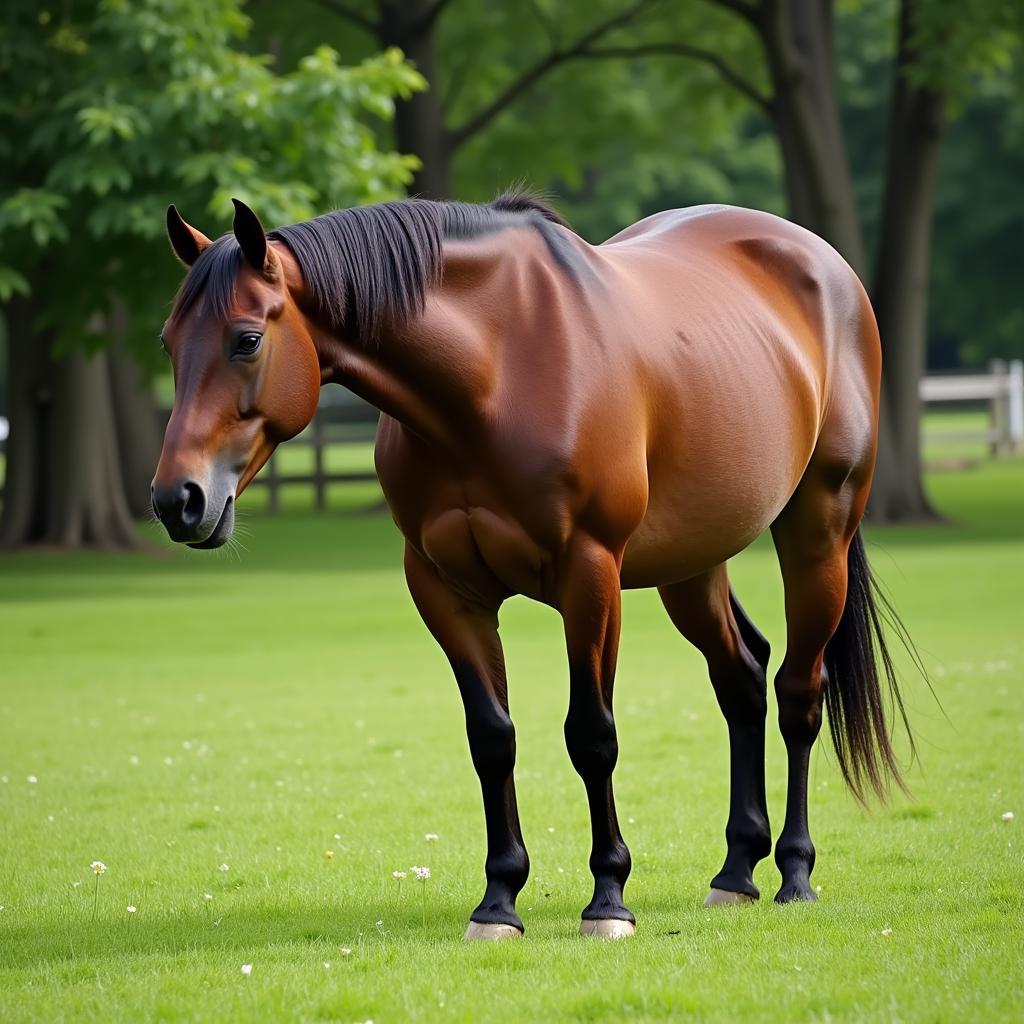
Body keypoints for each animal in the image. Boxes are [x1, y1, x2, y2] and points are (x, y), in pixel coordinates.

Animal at [153, 192, 913, 942]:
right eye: (168, 341)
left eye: (247, 339)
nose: (177, 500)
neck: (496, 372)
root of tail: (825, 266)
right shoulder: (444, 590)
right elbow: (492, 738)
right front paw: (498, 902)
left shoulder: (591, 577)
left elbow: (592, 736)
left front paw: (608, 899)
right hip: (692, 564)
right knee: (743, 678)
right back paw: (735, 872)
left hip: (817, 534)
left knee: (798, 693)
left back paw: (794, 873)